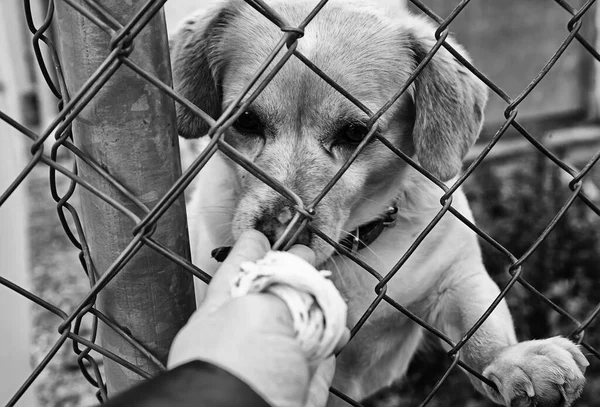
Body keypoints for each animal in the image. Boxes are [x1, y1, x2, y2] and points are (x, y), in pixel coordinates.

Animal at [171, 1, 588, 406]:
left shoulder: (457, 277)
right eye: (245, 120)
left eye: (356, 132)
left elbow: (481, 327)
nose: (278, 234)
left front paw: (514, 359)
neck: (354, 246)